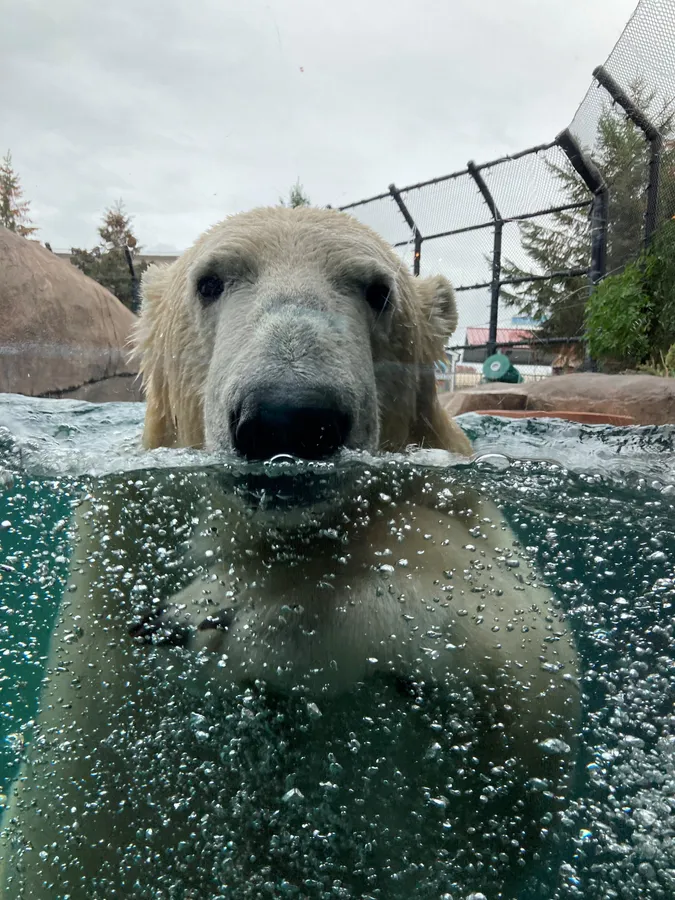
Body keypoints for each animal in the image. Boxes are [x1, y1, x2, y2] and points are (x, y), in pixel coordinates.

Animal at [0, 207, 580, 899]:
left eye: (378, 290)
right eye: (210, 281)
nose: (289, 418)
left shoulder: (465, 505)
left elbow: (534, 692)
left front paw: (254, 609)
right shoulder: (111, 601)